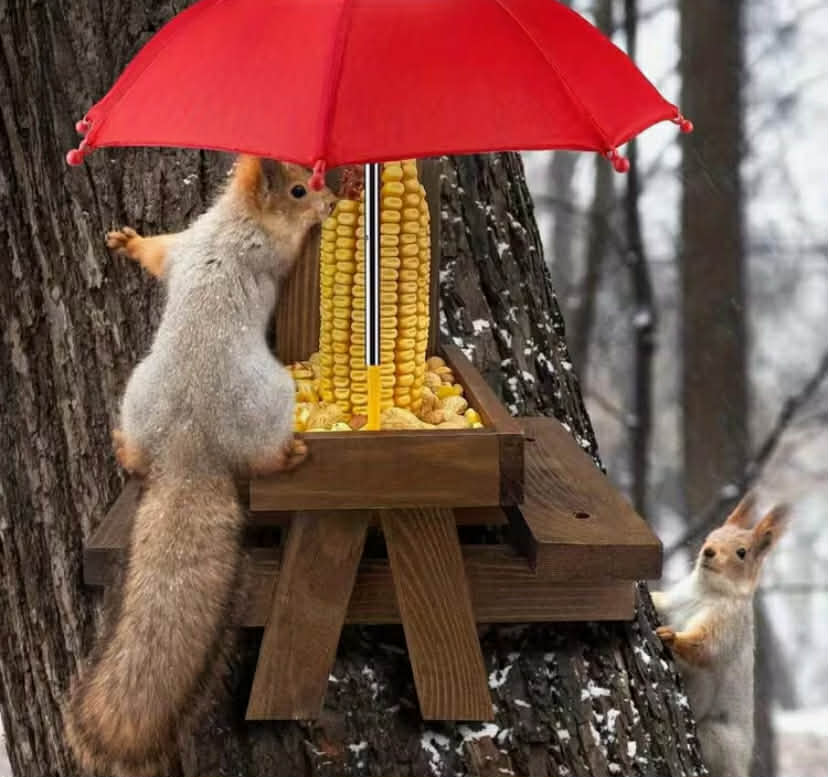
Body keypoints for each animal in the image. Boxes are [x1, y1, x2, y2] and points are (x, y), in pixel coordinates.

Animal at [63, 155, 336, 777]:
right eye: (299, 189)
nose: (332, 200)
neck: (233, 220)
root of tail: (189, 450)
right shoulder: (266, 246)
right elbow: (289, 245)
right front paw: (321, 217)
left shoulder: (185, 243)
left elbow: (158, 252)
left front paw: (128, 241)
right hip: (271, 401)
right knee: (261, 460)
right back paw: (289, 455)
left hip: (136, 394)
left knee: (135, 452)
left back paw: (124, 446)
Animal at [651, 494, 790, 777]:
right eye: (710, 535)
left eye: (742, 552)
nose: (708, 551)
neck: (706, 591)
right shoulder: (675, 601)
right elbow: (660, 602)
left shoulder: (727, 624)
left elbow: (706, 646)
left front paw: (671, 637)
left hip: (715, 737)